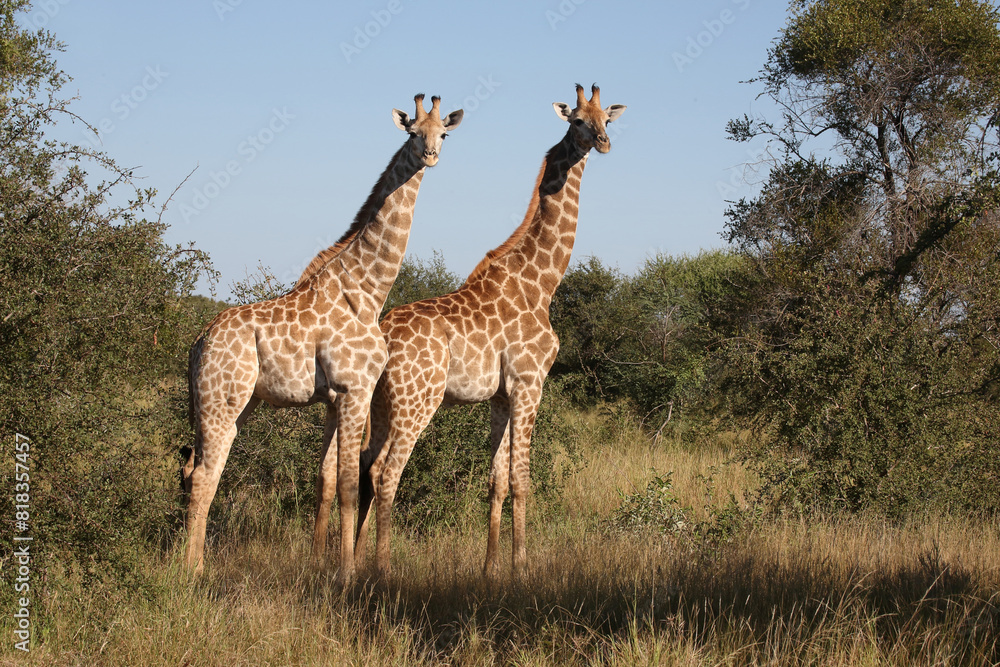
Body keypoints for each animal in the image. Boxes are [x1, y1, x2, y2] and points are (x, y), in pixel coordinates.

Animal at [181, 93, 463, 586]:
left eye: (442, 132)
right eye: (413, 132)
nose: (430, 155)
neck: (366, 291)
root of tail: (199, 342)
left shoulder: (334, 398)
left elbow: (326, 480)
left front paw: (318, 563)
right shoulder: (355, 390)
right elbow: (350, 483)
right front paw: (346, 573)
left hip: (234, 403)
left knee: (204, 470)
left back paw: (192, 564)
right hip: (222, 398)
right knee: (202, 475)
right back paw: (188, 571)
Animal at [355, 84, 626, 578]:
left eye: (607, 120)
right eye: (577, 120)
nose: (603, 143)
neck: (541, 282)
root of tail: (381, 334)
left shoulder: (501, 394)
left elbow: (495, 481)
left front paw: (490, 568)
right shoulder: (529, 383)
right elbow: (522, 479)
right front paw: (522, 567)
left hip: (380, 403)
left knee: (367, 468)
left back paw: (359, 561)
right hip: (417, 400)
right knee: (387, 473)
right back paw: (382, 570)